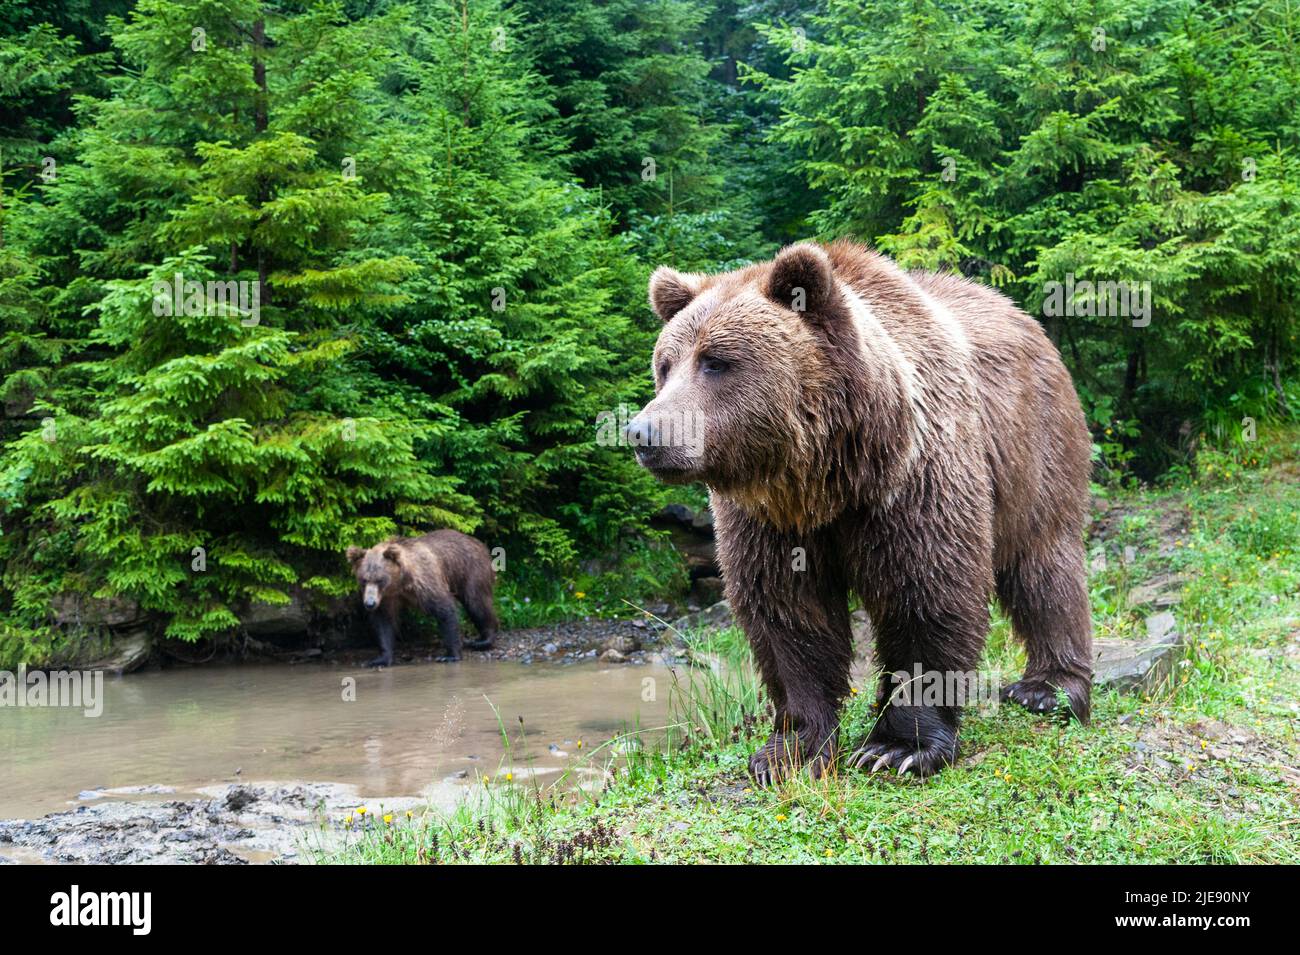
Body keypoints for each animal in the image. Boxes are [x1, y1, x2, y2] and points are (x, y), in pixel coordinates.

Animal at [346, 530, 498, 667]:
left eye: (380, 580)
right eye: (364, 580)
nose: (370, 603)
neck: (400, 583)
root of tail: (477, 541)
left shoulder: (425, 583)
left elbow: (445, 609)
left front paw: (450, 655)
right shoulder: (387, 597)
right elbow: (384, 623)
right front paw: (380, 659)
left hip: (470, 570)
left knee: (477, 602)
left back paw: (482, 640)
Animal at [626, 239, 1093, 782]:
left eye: (716, 361)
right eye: (665, 364)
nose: (643, 432)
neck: (826, 476)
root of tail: (1021, 313)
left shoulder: (913, 480)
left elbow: (926, 592)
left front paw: (897, 747)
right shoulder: (768, 520)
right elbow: (787, 611)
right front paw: (790, 748)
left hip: (1034, 440)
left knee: (1043, 558)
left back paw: (1047, 688)